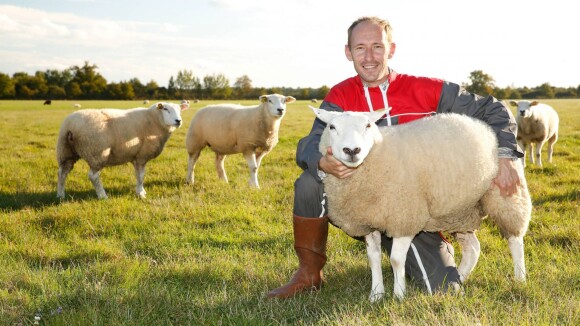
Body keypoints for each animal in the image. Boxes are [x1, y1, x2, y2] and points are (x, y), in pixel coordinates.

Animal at [56, 101, 189, 199]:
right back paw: (102, 195)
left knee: (62, 172)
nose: (178, 121)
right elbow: (141, 176)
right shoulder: (142, 155)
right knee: (93, 176)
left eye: (180, 110)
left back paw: (60, 195)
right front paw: (141, 193)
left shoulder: (135, 156)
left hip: (66, 151)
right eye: (166, 109)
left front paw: (140, 191)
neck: (154, 120)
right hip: (96, 153)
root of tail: (71, 125)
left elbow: (138, 175)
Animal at [310, 107, 532, 304]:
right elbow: (373, 258)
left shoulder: (405, 217)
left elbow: (396, 260)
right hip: (461, 211)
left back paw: (520, 279)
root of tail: (481, 126)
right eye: (331, 126)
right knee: (473, 249)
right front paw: (376, 295)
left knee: (515, 240)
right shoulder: (367, 222)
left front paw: (399, 295)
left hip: (506, 197)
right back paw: (458, 278)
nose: (352, 150)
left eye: (368, 125)